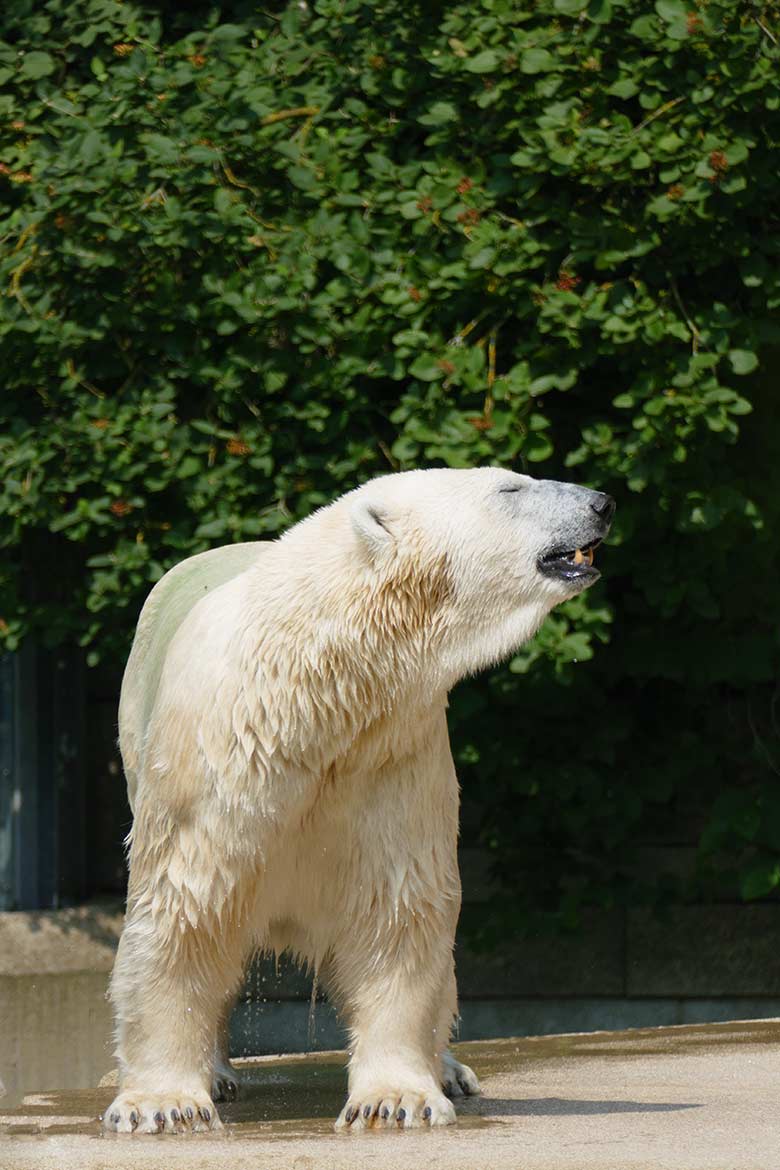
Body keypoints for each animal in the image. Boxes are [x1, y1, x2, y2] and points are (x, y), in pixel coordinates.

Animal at [103, 465, 617, 1132]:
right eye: (510, 488)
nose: (602, 502)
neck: (315, 696)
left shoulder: (393, 752)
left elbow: (397, 910)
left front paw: (396, 1099)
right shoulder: (216, 764)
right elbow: (186, 907)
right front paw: (164, 1105)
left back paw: (449, 1069)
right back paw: (217, 1072)